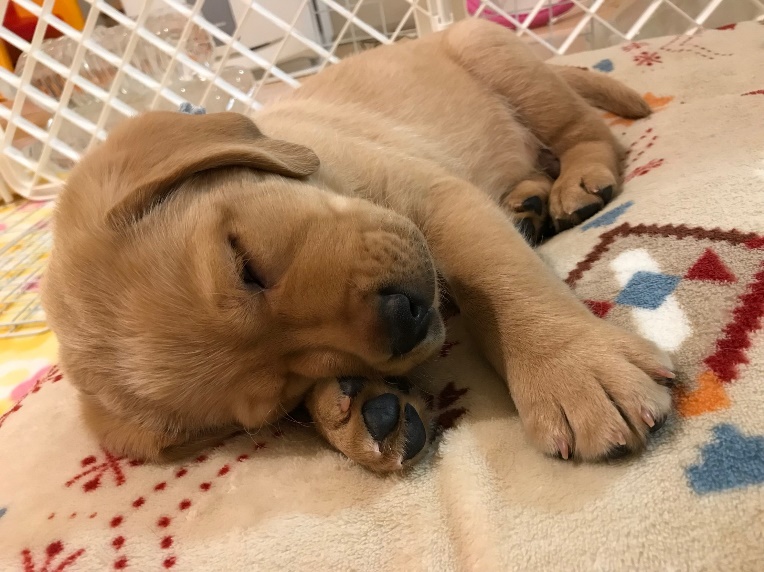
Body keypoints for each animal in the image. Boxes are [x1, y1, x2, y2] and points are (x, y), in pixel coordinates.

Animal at [42, 19, 674, 473]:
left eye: (246, 261)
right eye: (281, 398)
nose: (402, 319)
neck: (328, 177)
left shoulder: (435, 197)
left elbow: (499, 278)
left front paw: (572, 371)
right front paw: (356, 414)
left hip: (496, 55)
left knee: (588, 133)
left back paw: (578, 182)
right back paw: (528, 201)